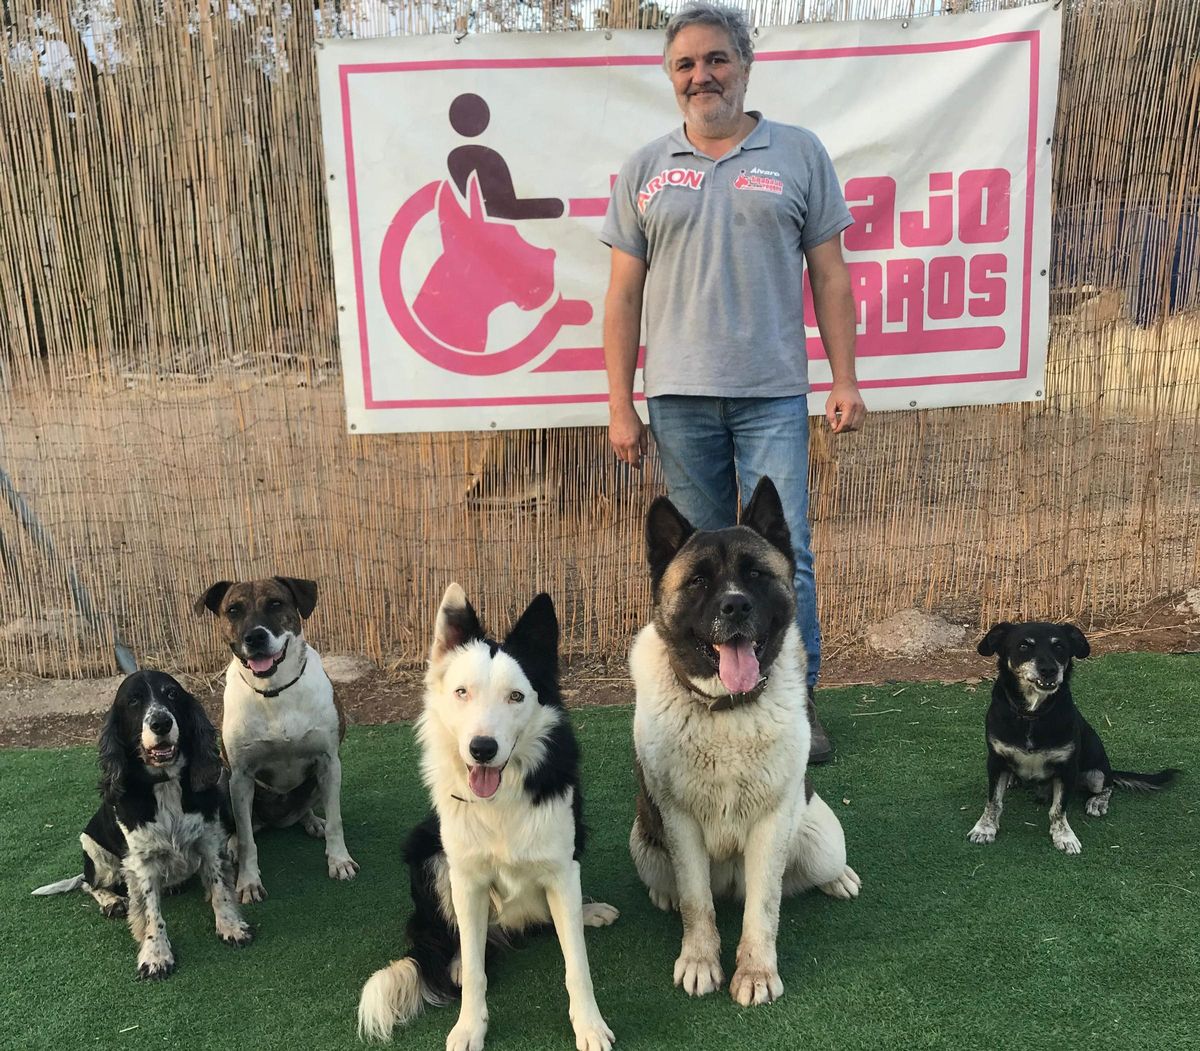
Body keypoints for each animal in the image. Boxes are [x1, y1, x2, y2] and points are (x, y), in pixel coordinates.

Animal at [31, 671, 250, 979]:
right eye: (133, 701)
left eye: (171, 693)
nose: (161, 722)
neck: (165, 784)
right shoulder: (140, 862)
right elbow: (150, 911)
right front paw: (156, 955)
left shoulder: (209, 842)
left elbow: (220, 889)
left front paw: (230, 927)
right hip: (94, 848)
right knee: (88, 882)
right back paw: (112, 901)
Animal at [628, 475, 864, 1003]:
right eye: (698, 581)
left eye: (755, 574)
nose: (735, 605)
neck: (727, 710)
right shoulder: (681, 826)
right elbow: (697, 903)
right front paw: (700, 960)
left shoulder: (771, 826)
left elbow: (764, 907)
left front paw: (756, 971)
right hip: (645, 843)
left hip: (819, 841)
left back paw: (839, 879)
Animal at [964, 623, 1171, 854]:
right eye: (1024, 646)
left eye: (1059, 646)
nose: (1049, 670)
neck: (1032, 715)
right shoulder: (996, 761)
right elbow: (993, 801)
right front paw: (985, 828)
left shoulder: (1067, 768)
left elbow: (1058, 808)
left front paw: (1064, 836)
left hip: (1097, 773)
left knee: (1108, 785)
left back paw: (1098, 801)